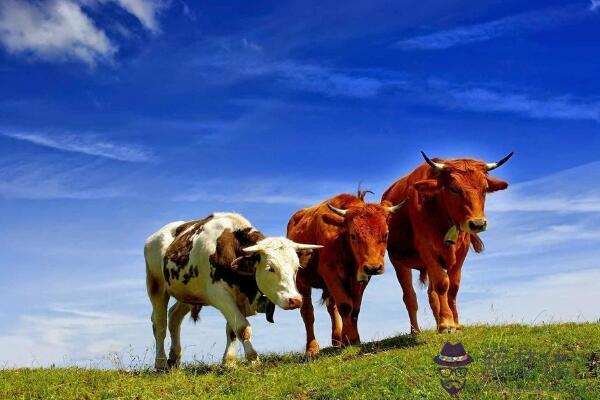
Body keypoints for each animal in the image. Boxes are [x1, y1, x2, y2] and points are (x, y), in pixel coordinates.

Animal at [144, 211, 322, 370]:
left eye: (296, 268)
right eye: (270, 268)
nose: (295, 300)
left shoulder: (238, 299)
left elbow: (231, 330)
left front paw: (229, 362)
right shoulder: (220, 296)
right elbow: (242, 328)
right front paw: (253, 359)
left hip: (188, 294)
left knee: (174, 318)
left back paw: (174, 359)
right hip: (156, 286)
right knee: (160, 324)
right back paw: (160, 363)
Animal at [286, 191, 404, 356]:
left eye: (386, 234)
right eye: (353, 235)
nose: (373, 267)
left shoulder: (361, 278)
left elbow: (355, 308)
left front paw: (353, 339)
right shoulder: (329, 271)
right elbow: (345, 305)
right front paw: (349, 338)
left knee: (331, 308)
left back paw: (337, 340)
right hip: (301, 281)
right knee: (308, 313)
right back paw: (312, 348)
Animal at [382, 153, 512, 334]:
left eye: (485, 189)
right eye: (454, 189)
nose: (478, 224)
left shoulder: (462, 251)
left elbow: (453, 286)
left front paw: (454, 323)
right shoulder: (427, 248)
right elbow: (442, 284)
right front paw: (447, 324)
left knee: (432, 295)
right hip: (399, 262)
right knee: (409, 297)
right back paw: (416, 331)